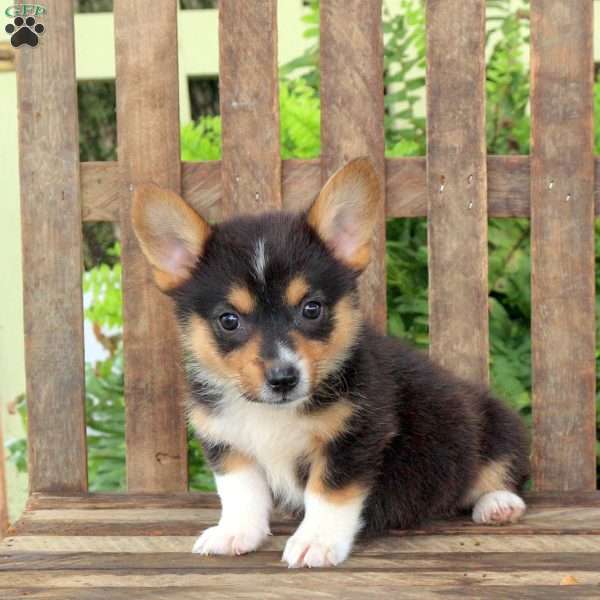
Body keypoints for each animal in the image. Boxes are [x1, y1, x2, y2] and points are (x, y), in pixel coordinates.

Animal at [132, 158, 528, 568]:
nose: (283, 378)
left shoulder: (353, 438)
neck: (272, 414)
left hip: (499, 426)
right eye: (229, 320)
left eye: (311, 309)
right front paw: (236, 532)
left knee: (496, 473)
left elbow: (327, 494)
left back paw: (499, 505)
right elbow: (241, 493)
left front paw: (315, 542)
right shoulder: (227, 442)